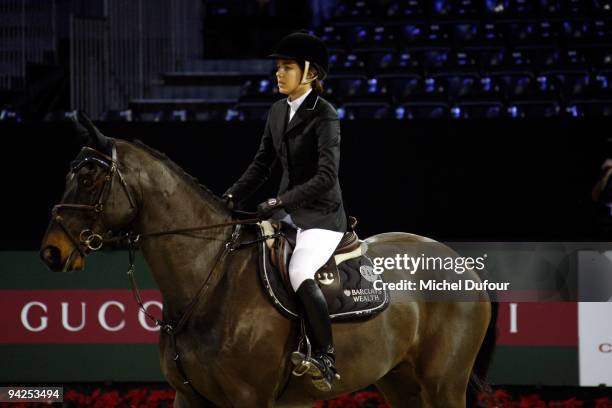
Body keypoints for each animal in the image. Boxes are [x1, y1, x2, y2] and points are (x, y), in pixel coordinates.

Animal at [39, 113, 498, 406]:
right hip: (400, 382)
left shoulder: (249, 398)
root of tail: (462, 263)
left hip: (444, 384)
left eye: (88, 178)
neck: (210, 280)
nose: (51, 251)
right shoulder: (188, 397)